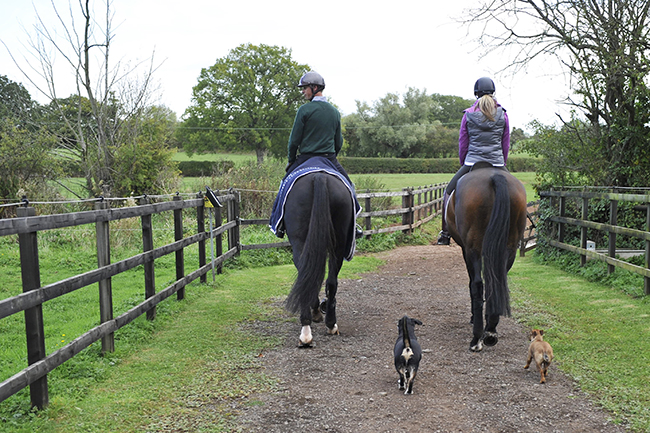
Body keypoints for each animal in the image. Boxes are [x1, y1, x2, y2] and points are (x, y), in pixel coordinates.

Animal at [284, 170, 354, 346]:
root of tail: (318, 176)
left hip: (301, 243)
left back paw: (308, 330)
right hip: (338, 245)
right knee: (331, 281)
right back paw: (329, 324)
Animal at [446, 165, 528, 352]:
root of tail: (495, 176)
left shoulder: (466, 250)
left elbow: (472, 283)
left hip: (473, 248)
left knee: (477, 284)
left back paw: (477, 337)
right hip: (509, 248)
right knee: (497, 281)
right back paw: (490, 331)